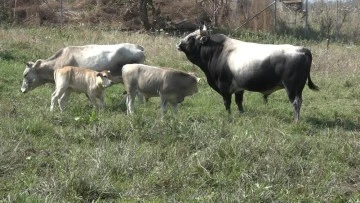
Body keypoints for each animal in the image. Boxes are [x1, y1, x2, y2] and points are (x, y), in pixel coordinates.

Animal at [176, 24, 320, 121]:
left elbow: (227, 102)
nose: (178, 43)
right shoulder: (239, 87)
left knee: (295, 102)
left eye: (191, 38)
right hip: (299, 88)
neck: (218, 51)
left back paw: (296, 121)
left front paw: (229, 116)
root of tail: (301, 49)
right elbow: (239, 102)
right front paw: (241, 114)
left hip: (291, 87)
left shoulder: (224, 86)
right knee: (299, 101)